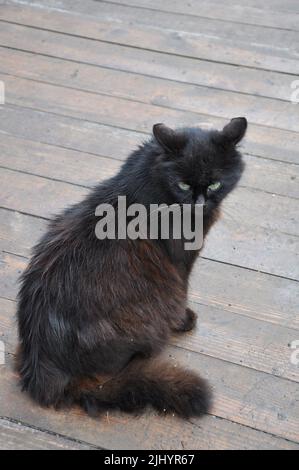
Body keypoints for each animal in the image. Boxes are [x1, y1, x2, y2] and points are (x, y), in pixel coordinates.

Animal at [15, 117, 247, 418]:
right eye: (183, 185)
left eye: (215, 183)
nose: (199, 204)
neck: (155, 175)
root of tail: (42, 364)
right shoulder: (181, 261)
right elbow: (183, 288)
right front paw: (184, 320)